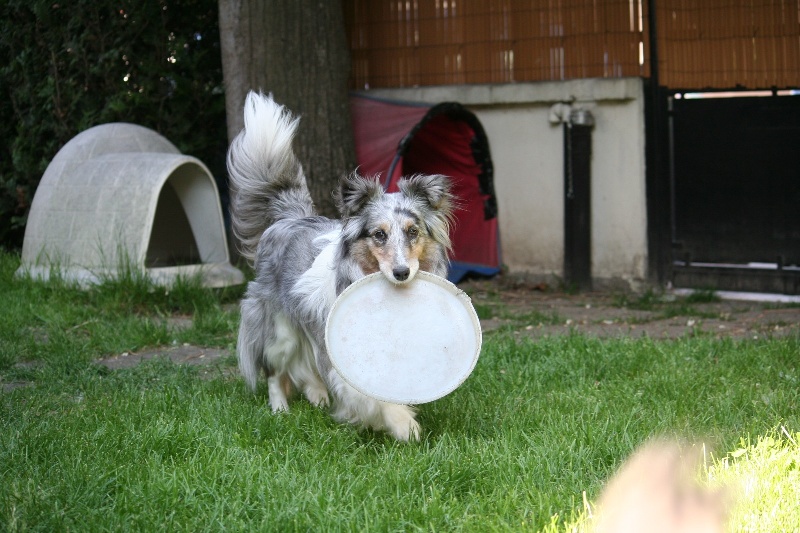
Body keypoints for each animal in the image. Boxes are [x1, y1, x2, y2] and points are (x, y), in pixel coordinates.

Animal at [227, 92, 456, 440]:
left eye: (412, 232)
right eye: (379, 235)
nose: (402, 273)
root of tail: (290, 218)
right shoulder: (344, 356)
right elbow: (371, 395)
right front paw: (404, 425)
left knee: (306, 369)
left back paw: (318, 398)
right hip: (278, 329)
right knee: (275, 371)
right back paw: (280, 410)